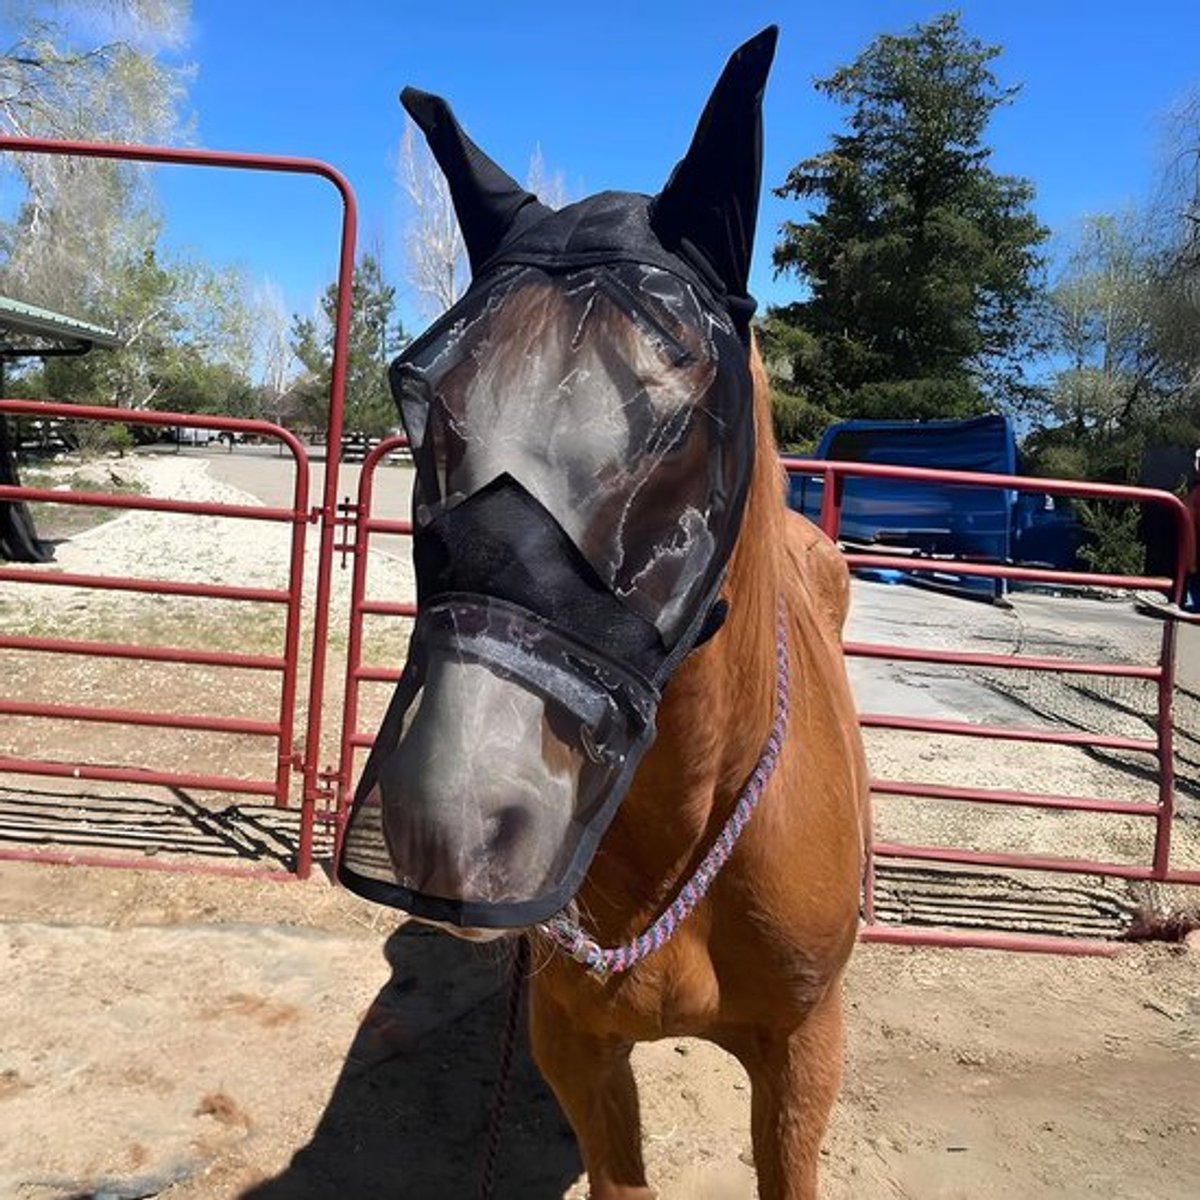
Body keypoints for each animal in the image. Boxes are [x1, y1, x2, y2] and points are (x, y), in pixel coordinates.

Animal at [338, 26, 869, 1199]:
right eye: (424, 402)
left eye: (684, 419)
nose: (454, 818)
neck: (684, 839)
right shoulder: (577, 1049)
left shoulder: (803, 1056)